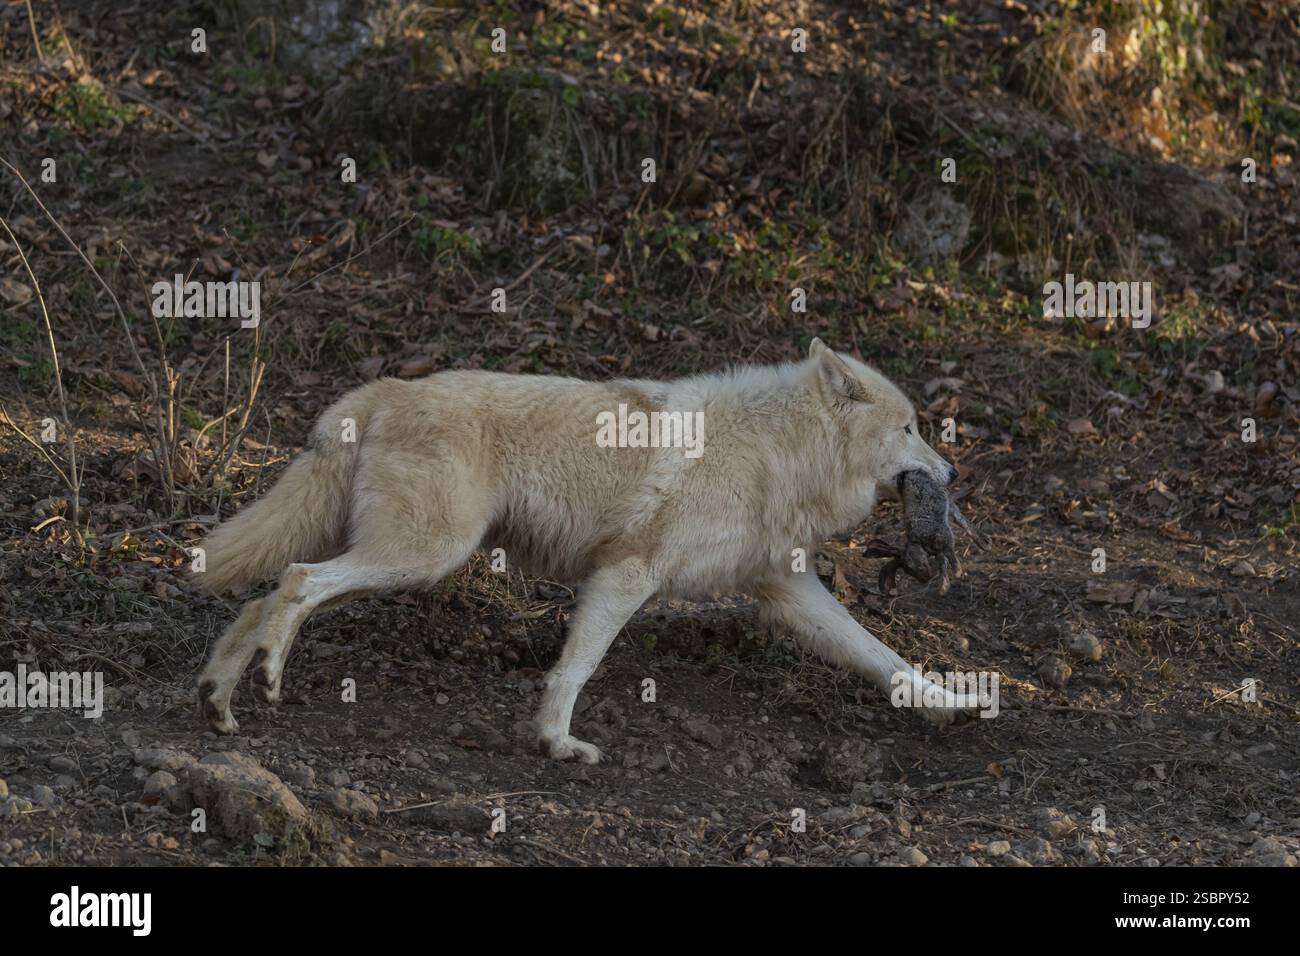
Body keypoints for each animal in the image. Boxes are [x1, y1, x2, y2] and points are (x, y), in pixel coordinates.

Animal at [193, 339, 971, 762]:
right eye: (910, 428)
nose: (953, 473)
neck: (778, 451)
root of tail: (383, 388)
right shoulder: (626, 574)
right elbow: (576, 668)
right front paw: (557, 743)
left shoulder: (788, 592)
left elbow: (883, 656)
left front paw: (951, 704)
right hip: (424, 555)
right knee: (296, 580)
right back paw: (267, 677)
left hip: (403, 560)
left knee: (263, 599)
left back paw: (222, 702)